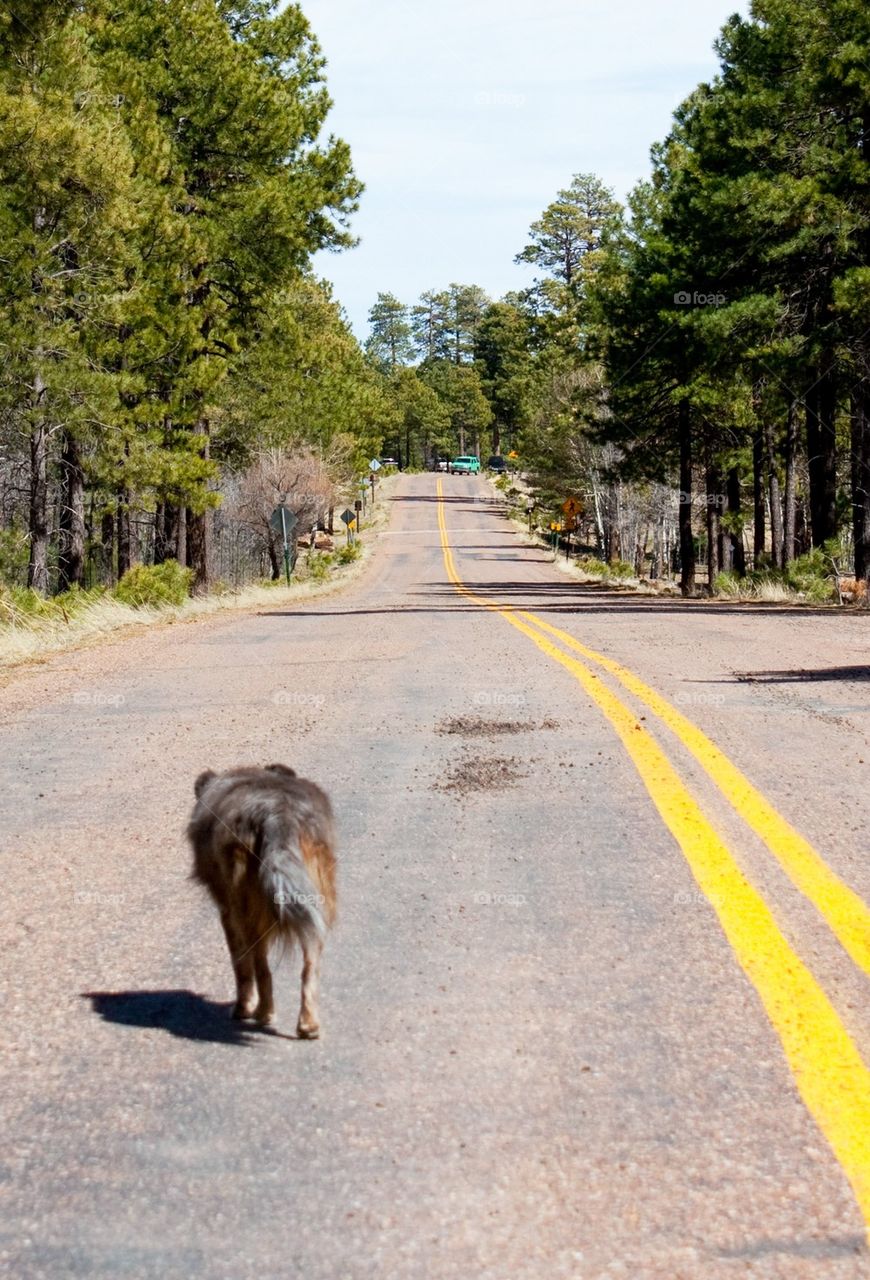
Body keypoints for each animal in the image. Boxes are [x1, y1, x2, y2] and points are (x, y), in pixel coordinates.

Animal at [186, 762, 335, 1034]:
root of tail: (278, 814)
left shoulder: (228, 911)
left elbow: (241, 965)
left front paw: (242, 1008)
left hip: (249, 909)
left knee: (262, 968)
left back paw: (263, 1013)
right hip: (315, 904)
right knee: (310, 968)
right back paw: (308, 1024)